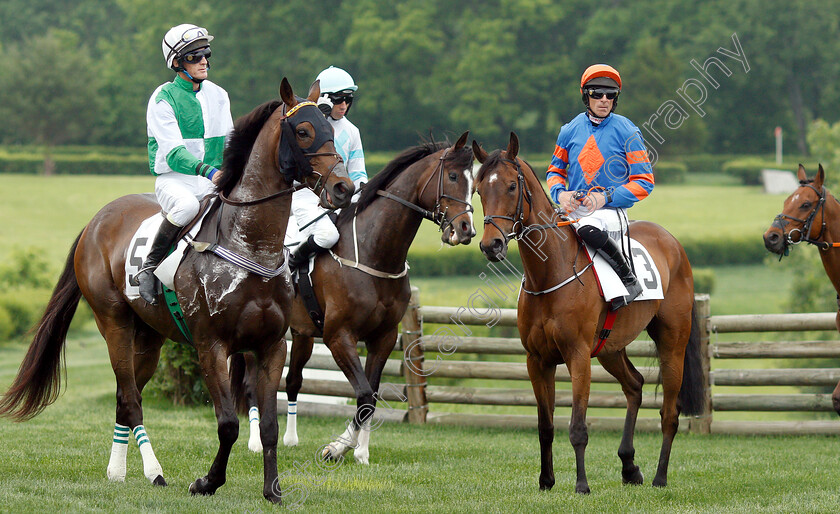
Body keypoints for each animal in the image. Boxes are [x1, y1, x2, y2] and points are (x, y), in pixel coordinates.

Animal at [0, 78, 354, 502]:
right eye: (303, 131)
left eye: (331, 129)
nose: (344, 187)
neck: (249, 245)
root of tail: (96, 220)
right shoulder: (211, 345)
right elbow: (227, 424)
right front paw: (207, 482)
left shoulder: (270, 345)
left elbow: (268, 425)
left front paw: (272, 490)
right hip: (114, 323)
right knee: (131, 398)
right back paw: (153, 471)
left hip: (149, 336)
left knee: (124, 397)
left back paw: (117, 471)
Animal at [233, 130, 476, 462]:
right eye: (452, 176)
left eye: (474, 183)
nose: (466, 229)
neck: (375, 255)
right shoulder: (339, 335)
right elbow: (362, 392)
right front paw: (337, 447)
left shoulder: (383, 336)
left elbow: (370, 395)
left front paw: (360, 451)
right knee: (251, 385)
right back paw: (256, 442)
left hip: (302, 333)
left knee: (294, 380)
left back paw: (291, 439)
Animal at [472, 132, 704, 492]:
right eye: (480, 188)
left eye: (511, 186)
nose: (490, 245)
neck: (549, 274)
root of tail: (673, 243)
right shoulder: (537, 360)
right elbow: (546, 426)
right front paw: (546, 480)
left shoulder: (578, 355)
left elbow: (578, 427)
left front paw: (581, 484)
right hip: (610, 348)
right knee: (634, 386)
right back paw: (629, 466)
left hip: (672, 343)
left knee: (669, 413)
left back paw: (659, 476)